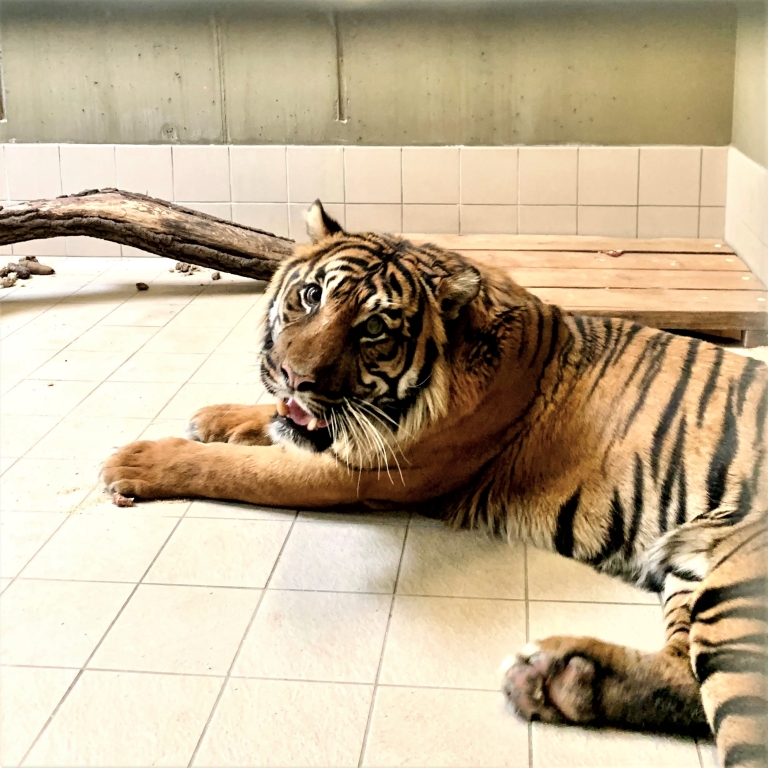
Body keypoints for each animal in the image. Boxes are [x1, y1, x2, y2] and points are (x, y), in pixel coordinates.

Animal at [103, 200, 768, 768]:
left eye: (374, 330)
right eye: (311, 295)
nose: (294, 376)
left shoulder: (360, 472)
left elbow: (241, 468)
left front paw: (135, 461)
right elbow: (267, 425)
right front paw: (216, 416)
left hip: (735, 593)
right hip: (690, 571)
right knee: (683, 674)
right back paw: (560, 679)